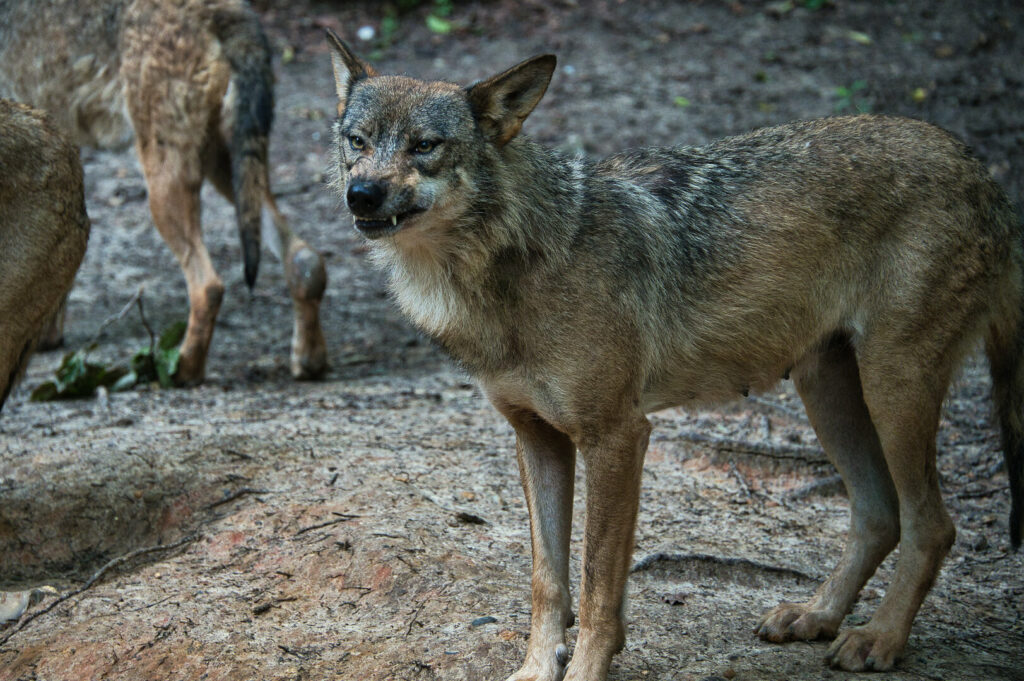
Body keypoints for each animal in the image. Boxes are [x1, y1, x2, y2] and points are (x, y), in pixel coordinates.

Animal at [1, 0, 327, 382]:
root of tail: (224, 11)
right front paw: (48, 335)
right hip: (229, 165)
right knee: (305, 259)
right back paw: (308, 360)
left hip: (163, 186)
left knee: (208, 286)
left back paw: (180, 369)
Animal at [325, 33, 1024, 679]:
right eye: (358, 140)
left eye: (424, 146)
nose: (362, 194)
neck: (509, 266)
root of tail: (981, 169)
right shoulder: (536, 436)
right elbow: (547, 581)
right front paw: (534, 669)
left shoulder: (618, 436)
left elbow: (596, 587)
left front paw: (584, 670)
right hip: (826, 387)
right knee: (879, 514)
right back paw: (817, 615)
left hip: (893, 386)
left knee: (932, 525)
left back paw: (877, 639)